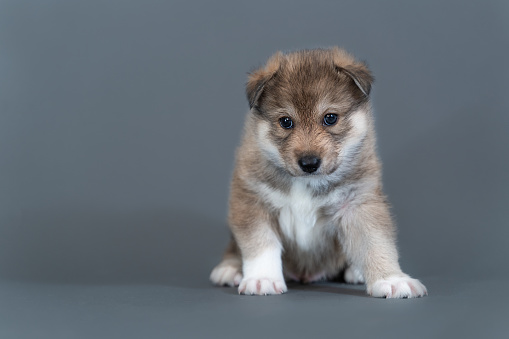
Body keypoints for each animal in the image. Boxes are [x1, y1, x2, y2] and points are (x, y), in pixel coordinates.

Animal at [208, 47, 426, 298]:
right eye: (286, 122)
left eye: (330, 118)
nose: (309, 163)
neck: (305, 183)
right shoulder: (252, 201)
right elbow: (261, 244)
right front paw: (262, 278)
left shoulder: (357, 204)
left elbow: (375, 242)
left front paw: (392, 279)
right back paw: (229, 268)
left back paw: (356, 271)